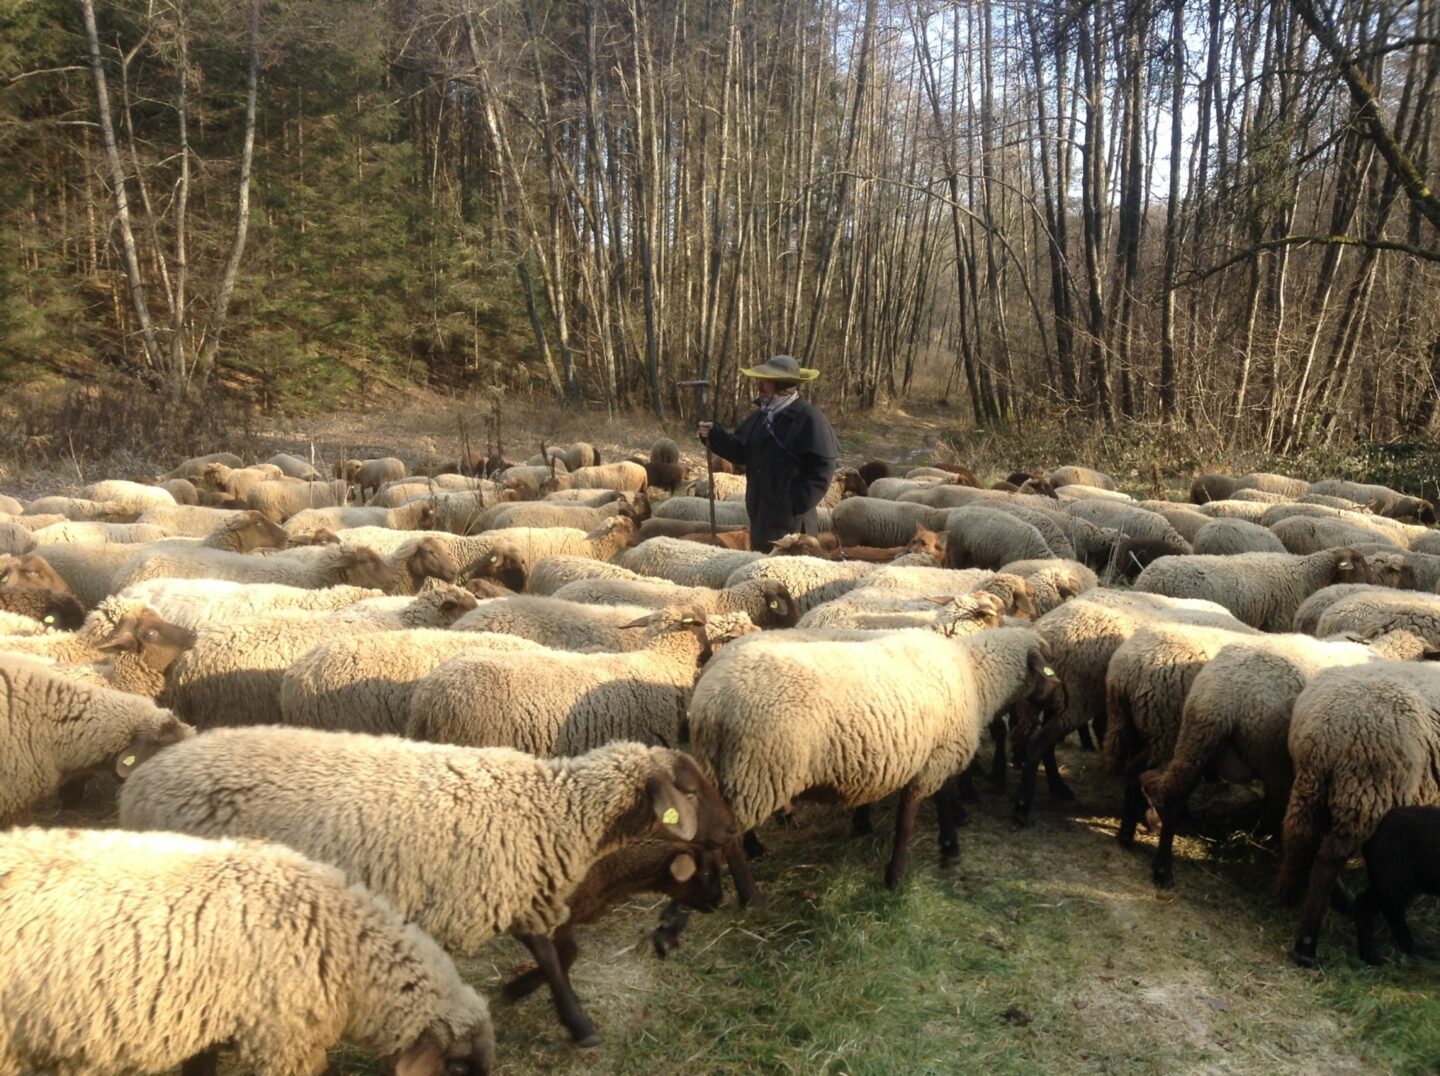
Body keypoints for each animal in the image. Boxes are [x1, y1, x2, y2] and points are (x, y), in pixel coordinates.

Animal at [119, 732, 738, 1046]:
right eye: (690, 789)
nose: (734, 830)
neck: (554, 808)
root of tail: (143, 779)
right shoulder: (486, 893)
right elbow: (553, 954)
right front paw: (577, 1024)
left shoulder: (519, 893)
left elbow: (561, 951)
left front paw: (530, 996)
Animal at [689, 625, 1060, 897]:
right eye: (1049, 669)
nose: (1059, 702)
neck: (975, 676)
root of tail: (709, 702)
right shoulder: (933, 761)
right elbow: (907, 821)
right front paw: (895, 877)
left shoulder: (935, 755)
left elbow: (942, 799)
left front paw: (949, 845)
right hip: (755, 771)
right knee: (728, 837)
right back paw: (751, 896)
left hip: (729, 771)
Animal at [1139, 630, 1431, 888]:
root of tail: (1227, 696)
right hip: (1272, 755)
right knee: (1279, 809)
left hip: (1196, 737)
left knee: (1175, 793)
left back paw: (1163, 868)